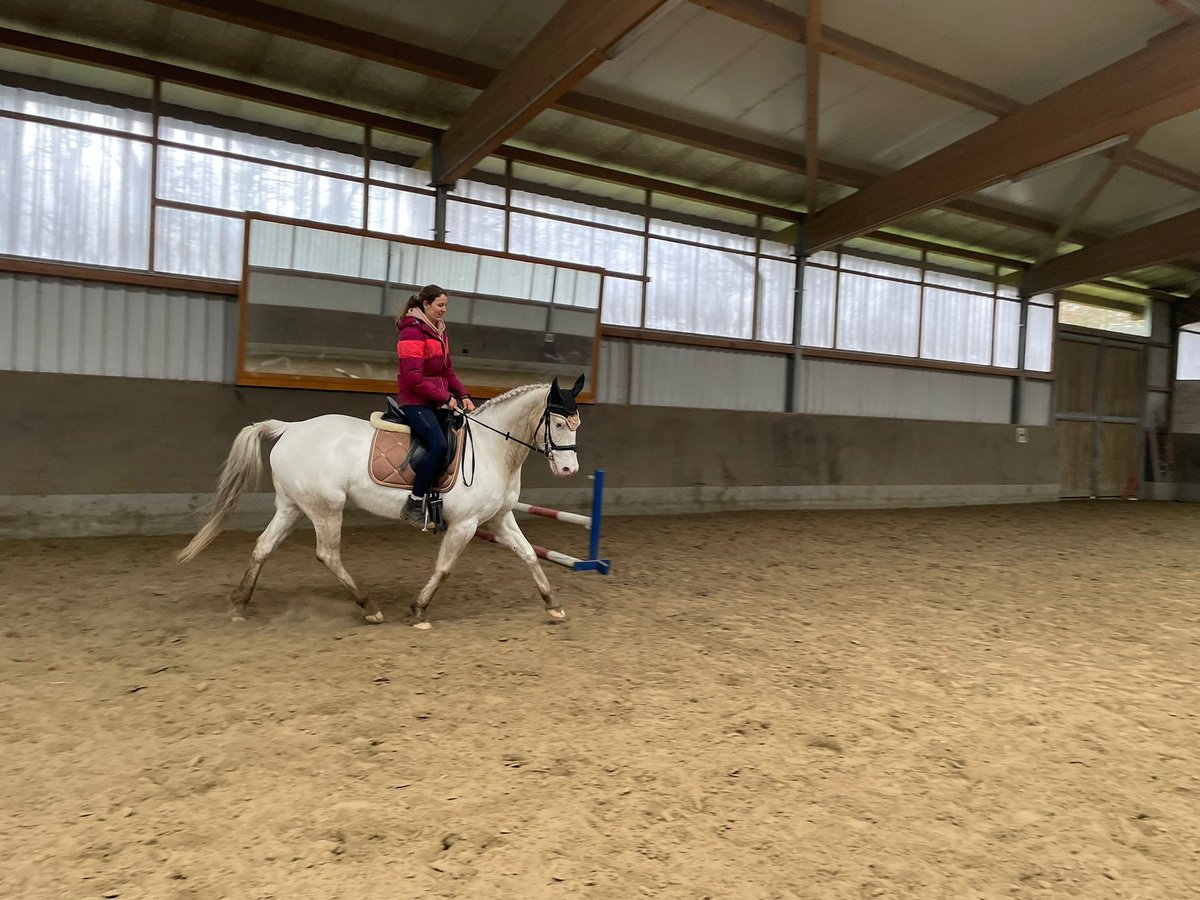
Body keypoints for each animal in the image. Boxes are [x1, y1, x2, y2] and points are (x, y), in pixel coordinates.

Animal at [177, 376, 585, 628]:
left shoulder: (500, 519)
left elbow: (529, 554)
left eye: (577, 424)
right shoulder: (465, 524)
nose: (569, 469)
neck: (491, 449)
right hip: (326, 508)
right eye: (558, 424)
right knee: (327, 554)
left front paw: (553, 603)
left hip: (293, 506)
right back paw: (368, 607)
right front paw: (419, 609)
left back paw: (240, 603)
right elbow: (444, 567)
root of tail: (291, 428)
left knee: (263, 546)